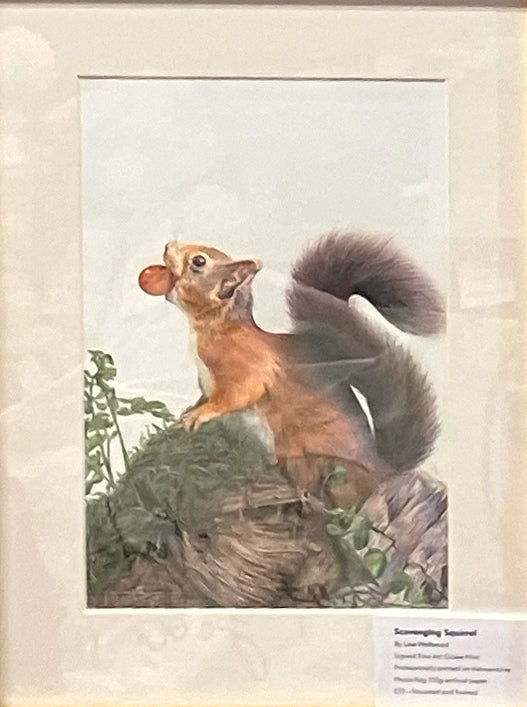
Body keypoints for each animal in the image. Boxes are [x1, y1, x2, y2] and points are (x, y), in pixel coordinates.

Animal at [139, 232, 444, 508]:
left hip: (306, 459)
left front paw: (200, 415)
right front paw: (185, 415)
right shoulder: (206, 382)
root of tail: (383, 473)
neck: (218, 329)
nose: (168, 245)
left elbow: (237, 395)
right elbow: (205, 397)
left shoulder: (246, 368)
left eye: (199, 262)